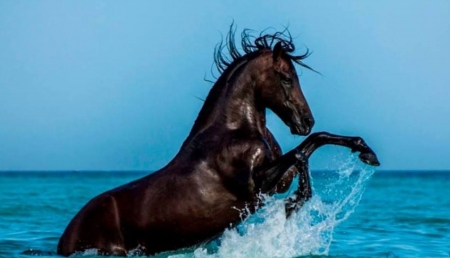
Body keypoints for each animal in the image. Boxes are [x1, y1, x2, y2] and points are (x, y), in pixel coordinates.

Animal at [57, 26, 380, 256]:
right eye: (287, 78)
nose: (305, 121)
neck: (233, 129)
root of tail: (65, 238)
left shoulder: (276, 181)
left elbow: (313, 143)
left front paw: (366, 151)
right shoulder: (254, 186)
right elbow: (301, 154)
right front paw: (293, 205)